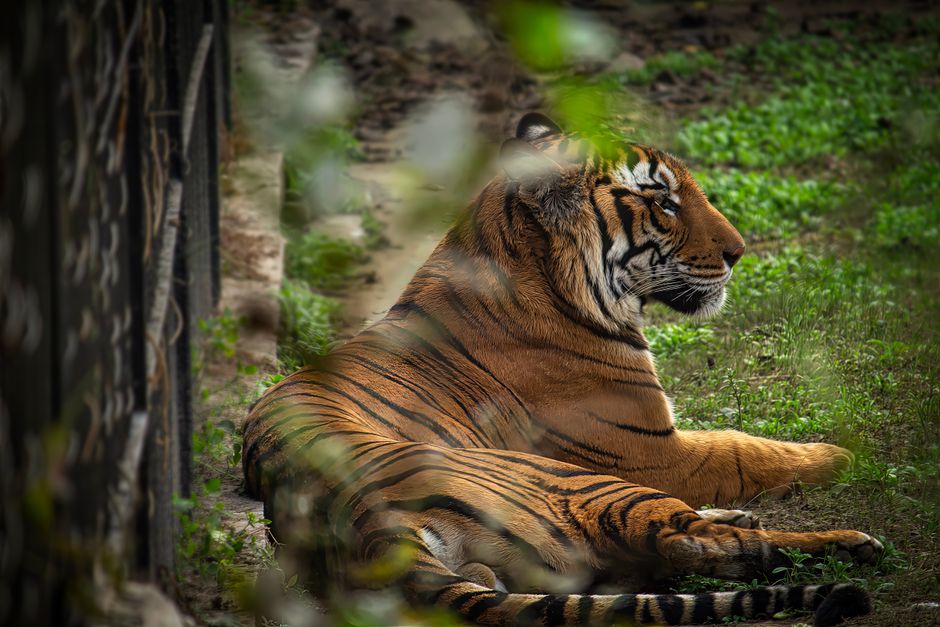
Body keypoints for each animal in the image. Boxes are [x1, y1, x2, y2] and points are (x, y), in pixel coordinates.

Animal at [243, 113, 883, 626]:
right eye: (663, 201)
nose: (739, 252)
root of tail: (365, 525)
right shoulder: (656, 452)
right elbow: (747, 447)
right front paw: (842, 453)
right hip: (584, 484)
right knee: (694, 543)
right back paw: (851, 544)